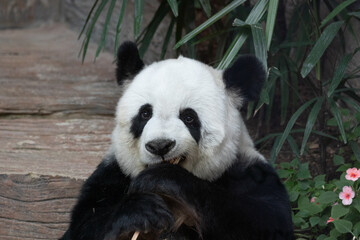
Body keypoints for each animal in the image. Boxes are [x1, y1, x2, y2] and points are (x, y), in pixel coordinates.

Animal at [60, 41, 294, 240]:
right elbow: (85, 224)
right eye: (145, 114)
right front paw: (141, 210)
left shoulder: (247, 171)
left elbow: (267, 221)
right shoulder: (112, 174)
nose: (160, 146)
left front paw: (162, 177)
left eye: (189, 117)